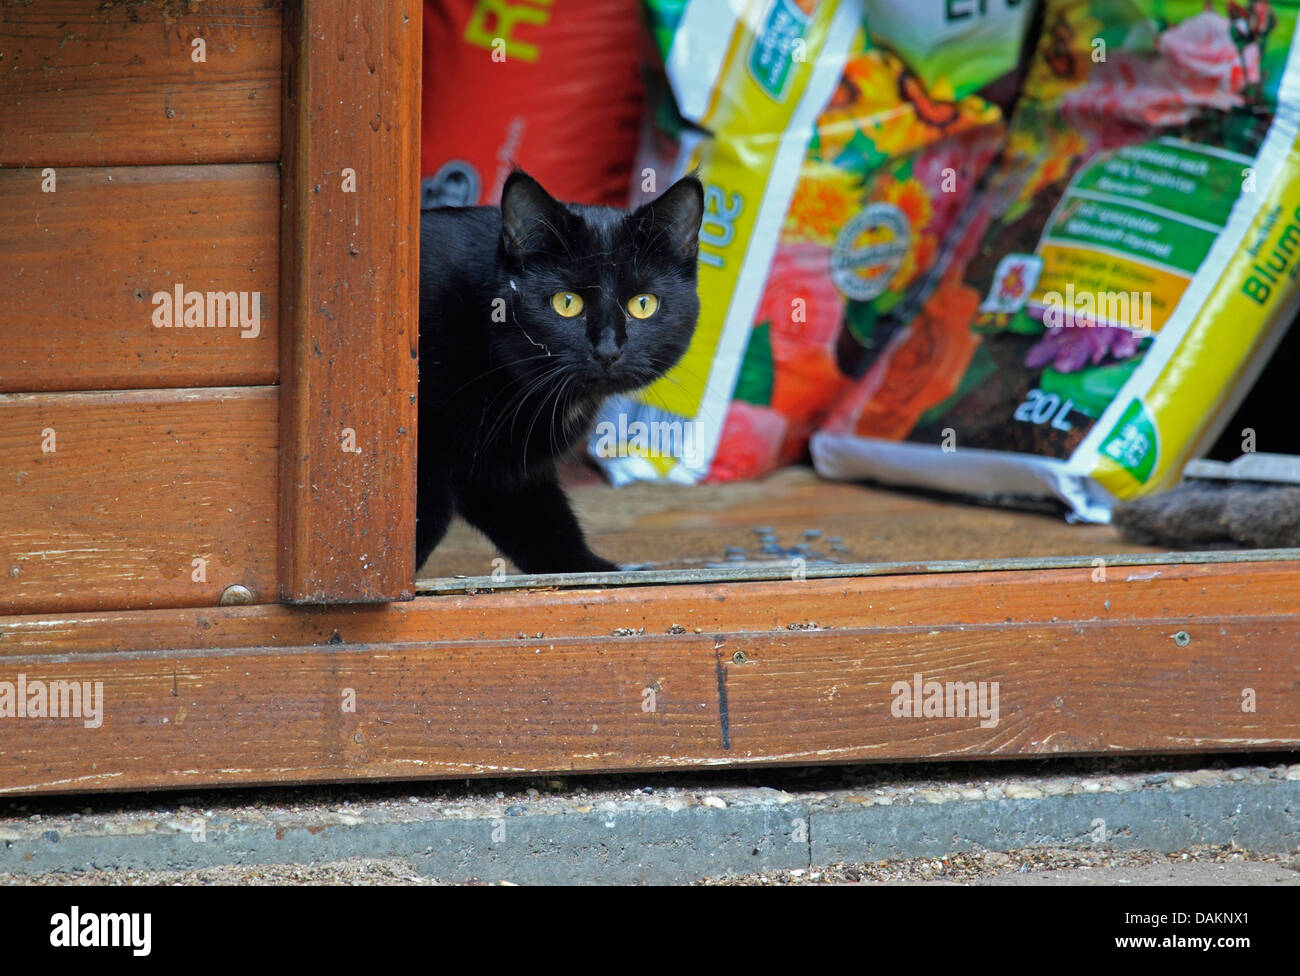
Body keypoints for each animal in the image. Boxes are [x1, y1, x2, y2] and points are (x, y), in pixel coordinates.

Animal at [416, 172, 702, 577]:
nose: (607, 350)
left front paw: (600, 574)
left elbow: (545, 529)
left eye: (643, 304)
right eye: (566, 303)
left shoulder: (504, 473)